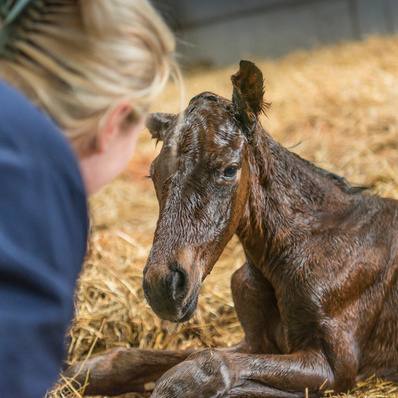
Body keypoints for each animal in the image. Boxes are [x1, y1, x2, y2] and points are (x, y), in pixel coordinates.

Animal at [65, 60, 398, 396]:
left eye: (229, 169)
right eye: (152, 173)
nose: (163, 287)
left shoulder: (334, 365)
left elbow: (196, 371)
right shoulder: (253, 343)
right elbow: (126, 360)